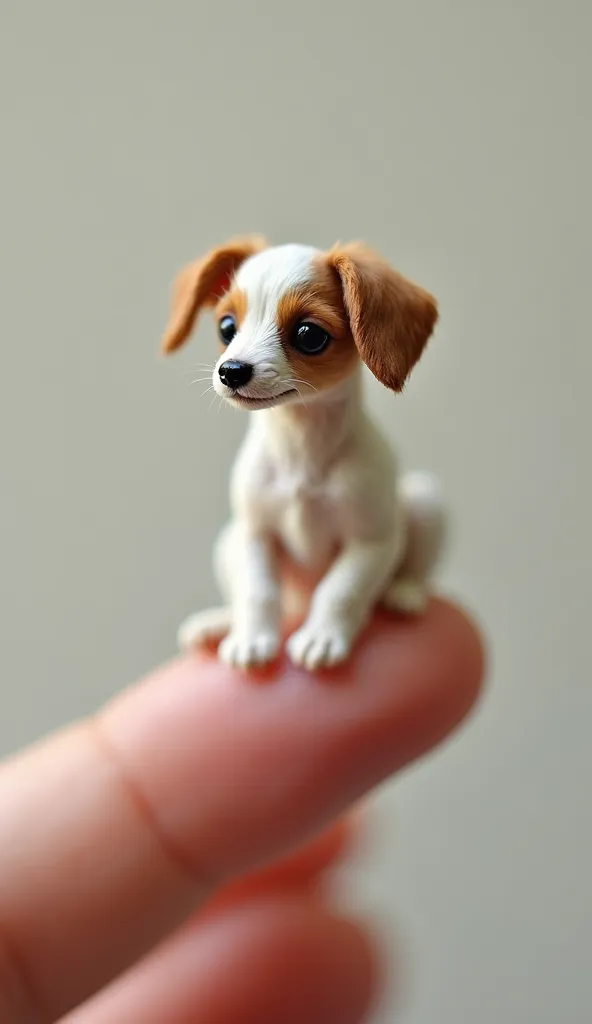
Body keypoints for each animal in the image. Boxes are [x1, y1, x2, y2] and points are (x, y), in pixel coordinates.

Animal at [158, 238, 444, 671]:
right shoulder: (253, 533)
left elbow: (340, 590)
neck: (300, 449)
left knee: (415, 570)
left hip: (427, 501)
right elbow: (257, 590)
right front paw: (251, 638)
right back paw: (219, 621)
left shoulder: (372, 541)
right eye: (227, 327)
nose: (231, 370)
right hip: (227, 541)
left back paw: (405, 593)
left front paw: (322, 636)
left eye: (309, 335)